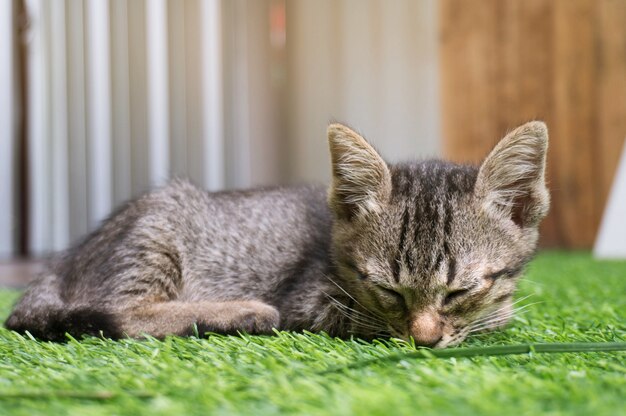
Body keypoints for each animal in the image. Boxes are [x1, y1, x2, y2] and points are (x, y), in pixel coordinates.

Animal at [7, 121, 548, 348]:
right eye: (388, 290)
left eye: (459, 290)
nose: (424, 340)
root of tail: (59, 264)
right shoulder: (311, 301)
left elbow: (496, 311)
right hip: (154, 231)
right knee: (119, 313)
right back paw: (242, 313)